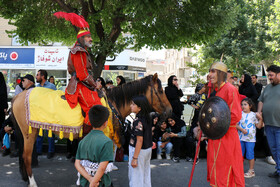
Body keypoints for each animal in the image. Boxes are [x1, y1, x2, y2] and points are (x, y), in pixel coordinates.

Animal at [12, 73, 171, 187]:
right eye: (161, 90)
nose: (170, 110)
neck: (112, 104)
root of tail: (18, 96)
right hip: (29, 133)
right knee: (26, 156)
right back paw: (32, 183)